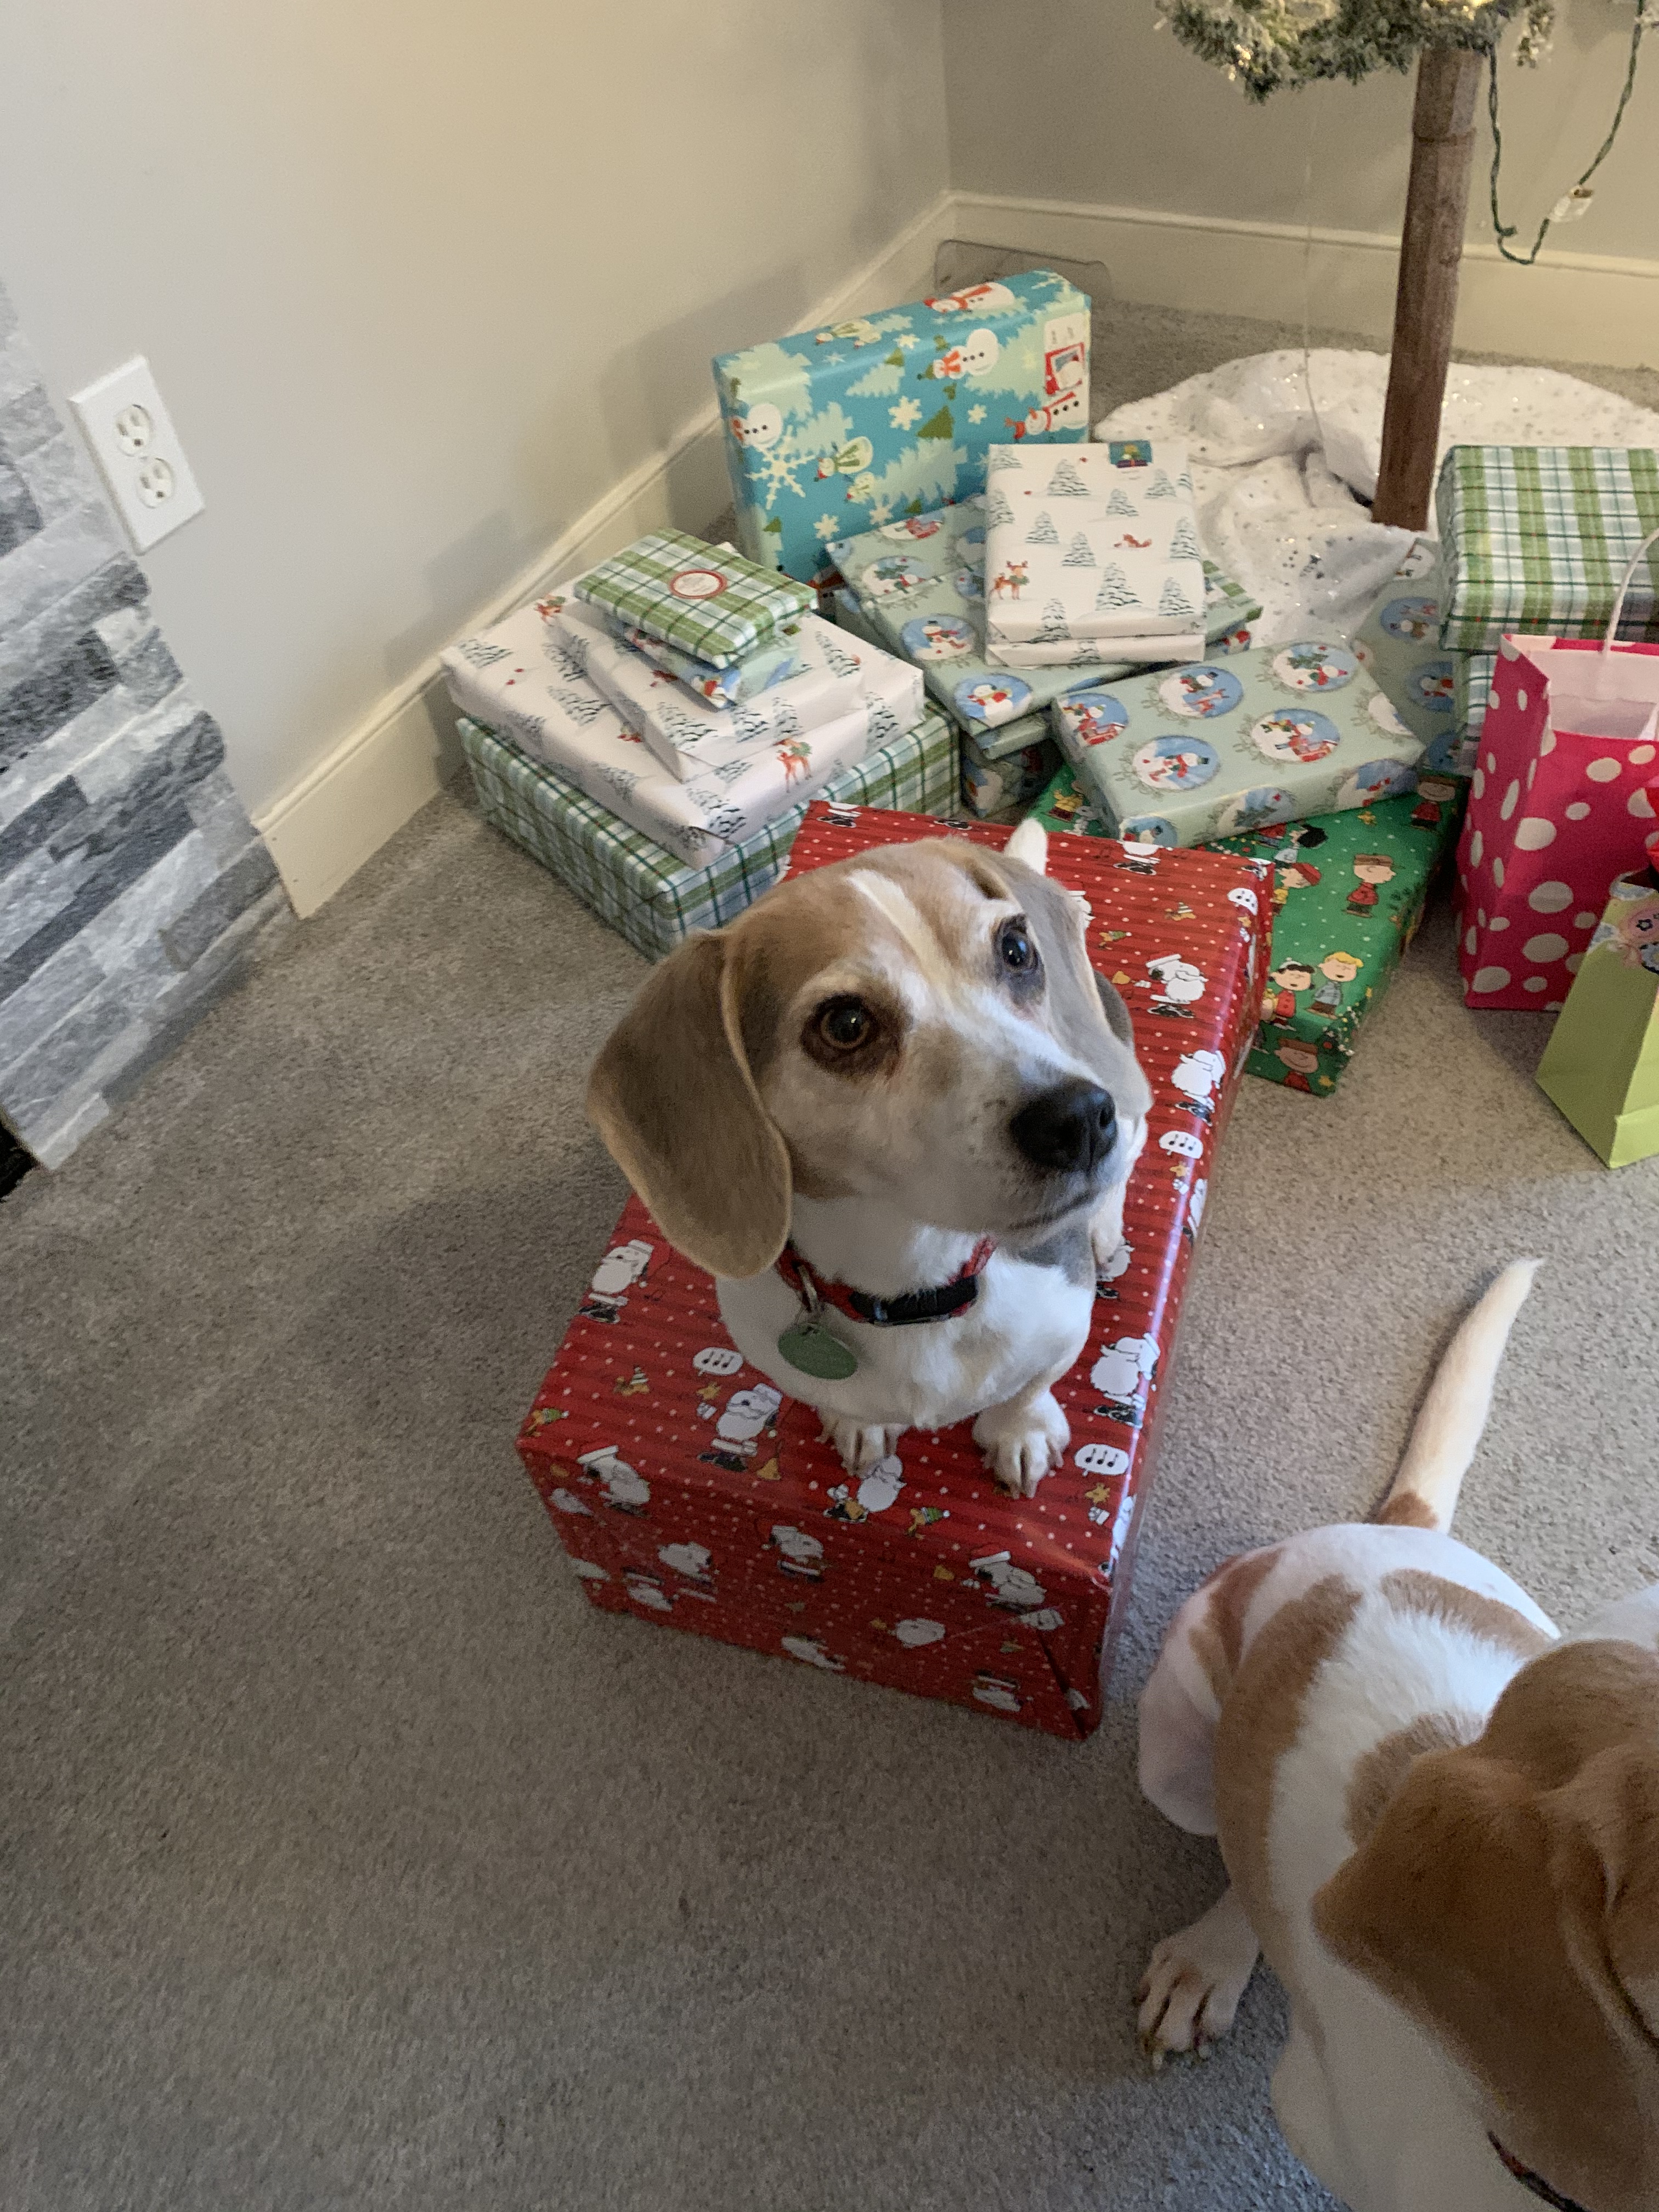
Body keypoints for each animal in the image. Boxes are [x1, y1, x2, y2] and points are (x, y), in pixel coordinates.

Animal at [586, 818, 1152, 1497]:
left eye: (1017, 949)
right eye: (847, 1024)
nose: (1077, 1120)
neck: (915, 1284)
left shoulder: (1064, 1327)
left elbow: (1030, 1387)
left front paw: (1021, 1430)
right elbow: (846, 1404)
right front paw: (859, 1424)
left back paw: (1101, 1226)